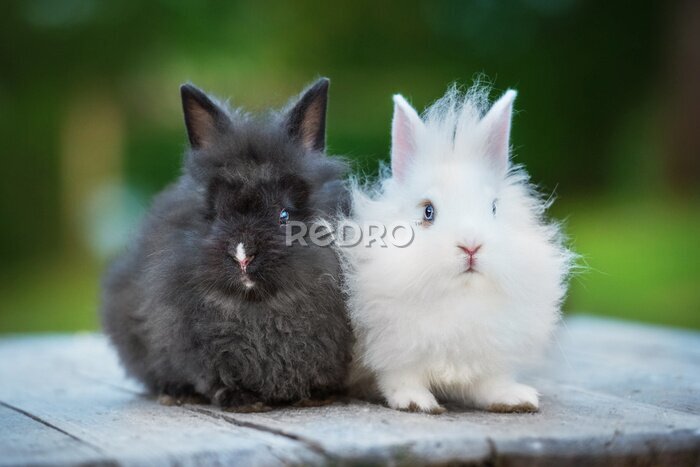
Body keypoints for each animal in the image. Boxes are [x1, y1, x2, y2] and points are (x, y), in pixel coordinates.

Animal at [101, 78, 353, 410]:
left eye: (284, 215)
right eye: (218, 213)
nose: (242, 255)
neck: (258, 308)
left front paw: (315, 397)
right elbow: (214, 375)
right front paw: (241, 400)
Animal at [339, 84, 574, 414]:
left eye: (493, 208)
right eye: (428, 211)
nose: (471, 246)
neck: (461, 297)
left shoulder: (491, 355)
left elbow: (490, 383)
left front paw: (515, 399)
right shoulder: (393, 347)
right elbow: (399, 377)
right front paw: (417, 403)